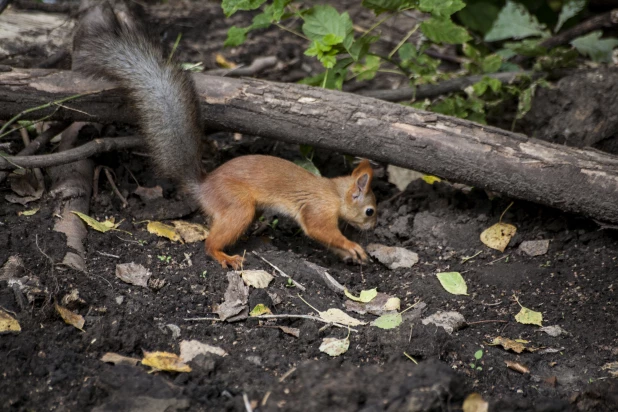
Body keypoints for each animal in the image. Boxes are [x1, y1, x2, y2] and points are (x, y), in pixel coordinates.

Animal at [74, 4, 378, 270]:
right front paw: (351, 246)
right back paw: (224, 256)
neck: (335, 193)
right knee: (210, 243)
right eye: (370, 211)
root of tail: (203, 187)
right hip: (238, 206)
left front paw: (348, 254)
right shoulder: (317, 210)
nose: (372, 226)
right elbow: (319, 230)